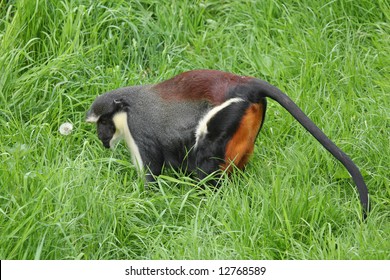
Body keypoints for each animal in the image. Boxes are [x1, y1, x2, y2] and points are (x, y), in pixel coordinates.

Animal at [85, 69, 368, 218]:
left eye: (103, 122)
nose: (101, 137)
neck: (128, 106)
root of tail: (244, 83)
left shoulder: (139, 129)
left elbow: (152, 173)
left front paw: (141, 200)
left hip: (227, 113)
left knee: (204, 159)